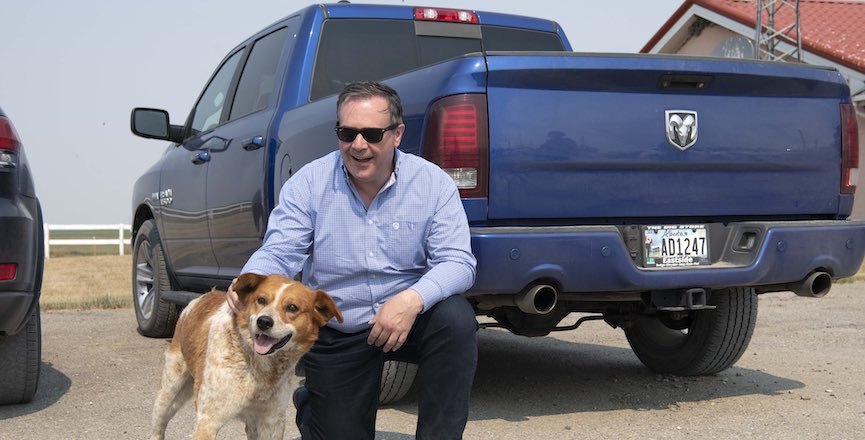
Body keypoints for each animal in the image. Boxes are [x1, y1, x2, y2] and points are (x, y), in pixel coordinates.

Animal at [148, 274, 340, 438]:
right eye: (261, 300)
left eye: (292, 307)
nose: (264, 322)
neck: (258, 370)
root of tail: (204, 296)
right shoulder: (208, 421)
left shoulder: (271, 422)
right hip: (169, 393)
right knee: (158, 427)